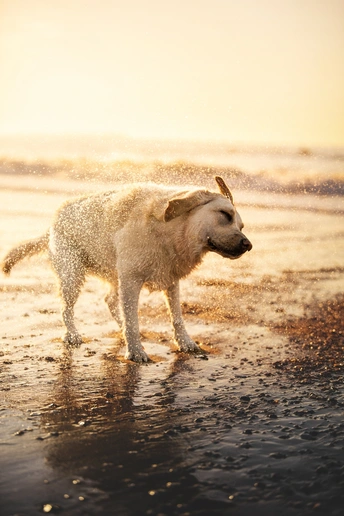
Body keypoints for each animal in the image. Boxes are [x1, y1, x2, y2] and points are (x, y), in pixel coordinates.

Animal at [1, 175, 251, 360]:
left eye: (241, 225)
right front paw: (136, 351)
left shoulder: (170, 279)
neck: (170, 229)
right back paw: (72, 334)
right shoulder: (131, 279)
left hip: (113, 272)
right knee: (67, 308)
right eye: (224, 214)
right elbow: (133, 318)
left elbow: (176, 317)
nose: (248, 245)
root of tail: (51, 226)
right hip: (73, 275)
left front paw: (186, 343)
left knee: (111, 301)